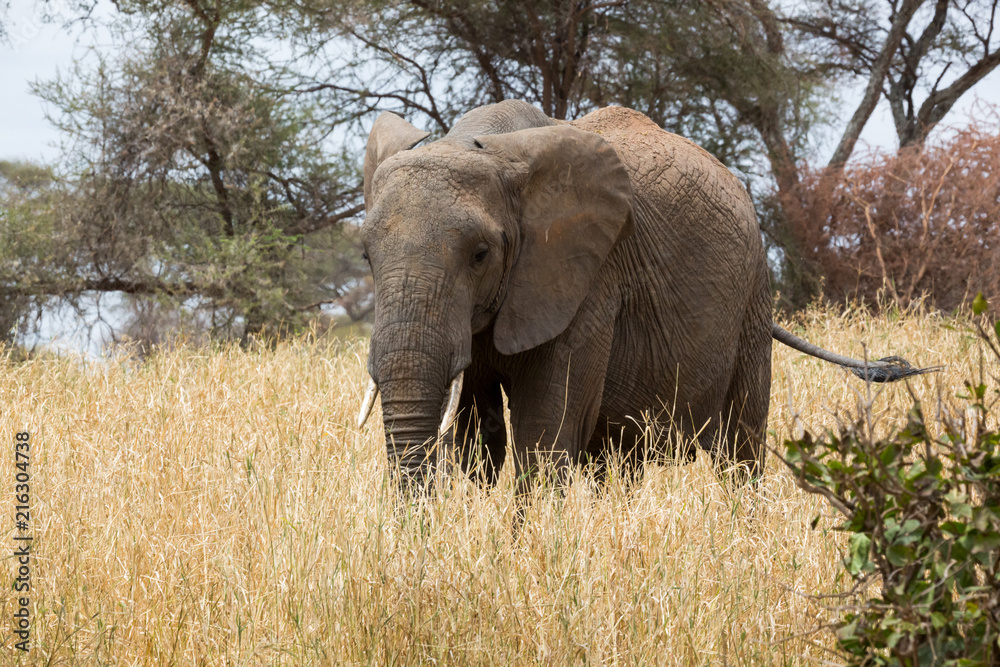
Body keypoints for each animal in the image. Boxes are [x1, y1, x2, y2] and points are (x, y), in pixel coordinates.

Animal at [356, 100, 938, 490]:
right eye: (365, 257)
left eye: (480, 254)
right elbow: (479, 440)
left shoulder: (588, 280)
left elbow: (546, 431)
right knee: (617, 455)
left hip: (753, 290)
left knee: (739, 445)